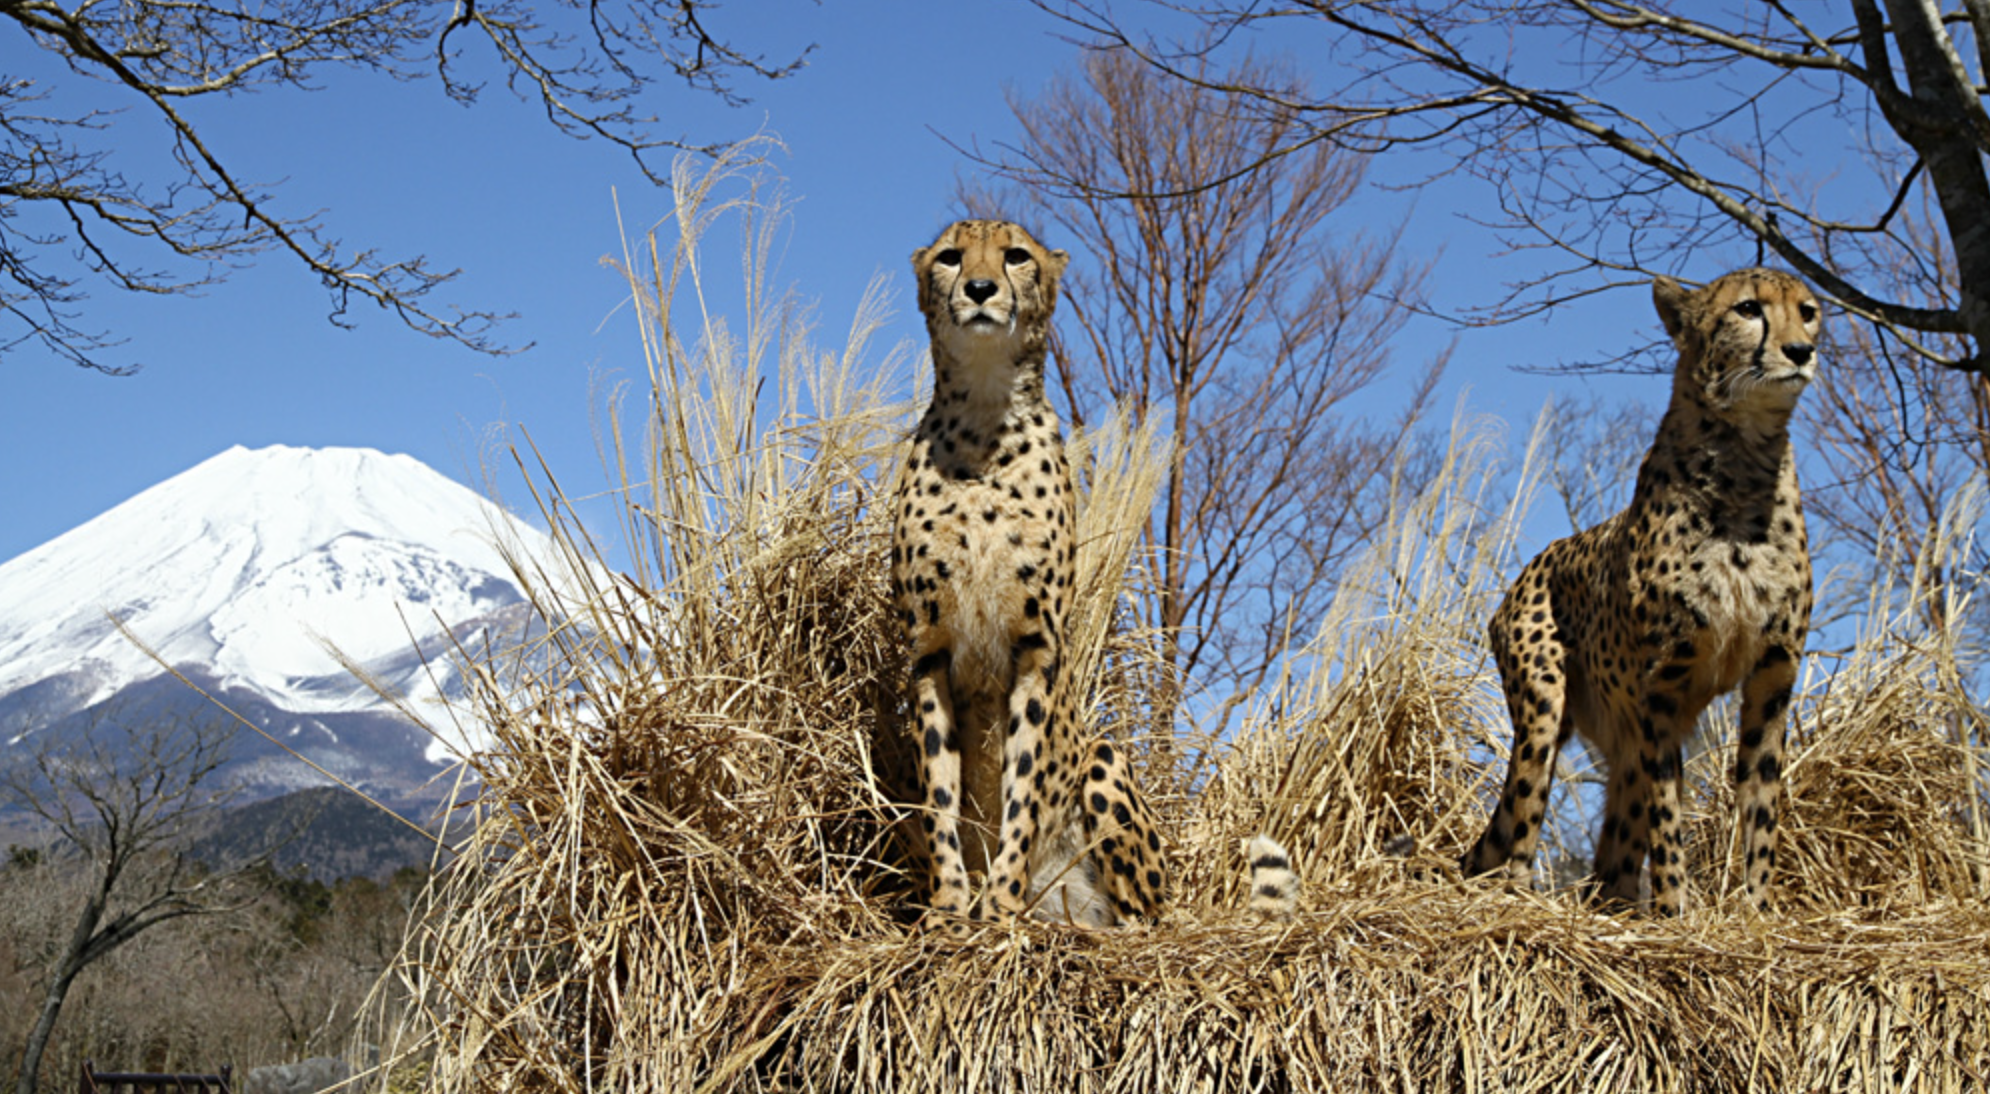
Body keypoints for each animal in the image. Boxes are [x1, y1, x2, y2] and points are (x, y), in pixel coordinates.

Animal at [891, 218, 1297, 930]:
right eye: (950, 257)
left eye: (1014, 256)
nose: (980, 288)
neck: (983, 421)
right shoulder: (928, 649)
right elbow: (941, 794)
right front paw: (950, 907)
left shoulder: (1036, 647)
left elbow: (1024, 786)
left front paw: (1000, 905)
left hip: (1105, 763)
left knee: (1142, 916)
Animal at [1464, 268, 1822, 918]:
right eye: (1748, 310)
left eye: (1807, 311)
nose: (1800, 351)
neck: (1745, 462)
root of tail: (1529, 567)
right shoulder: (1664, 684)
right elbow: (1668, 815)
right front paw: (1677, 911)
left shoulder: (1774, 673)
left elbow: (1761, 803)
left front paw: (1757, 911)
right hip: (1545, 711)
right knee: (1520, 834)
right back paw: (1526, 901)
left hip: (1623, 734)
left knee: (1609, 862)